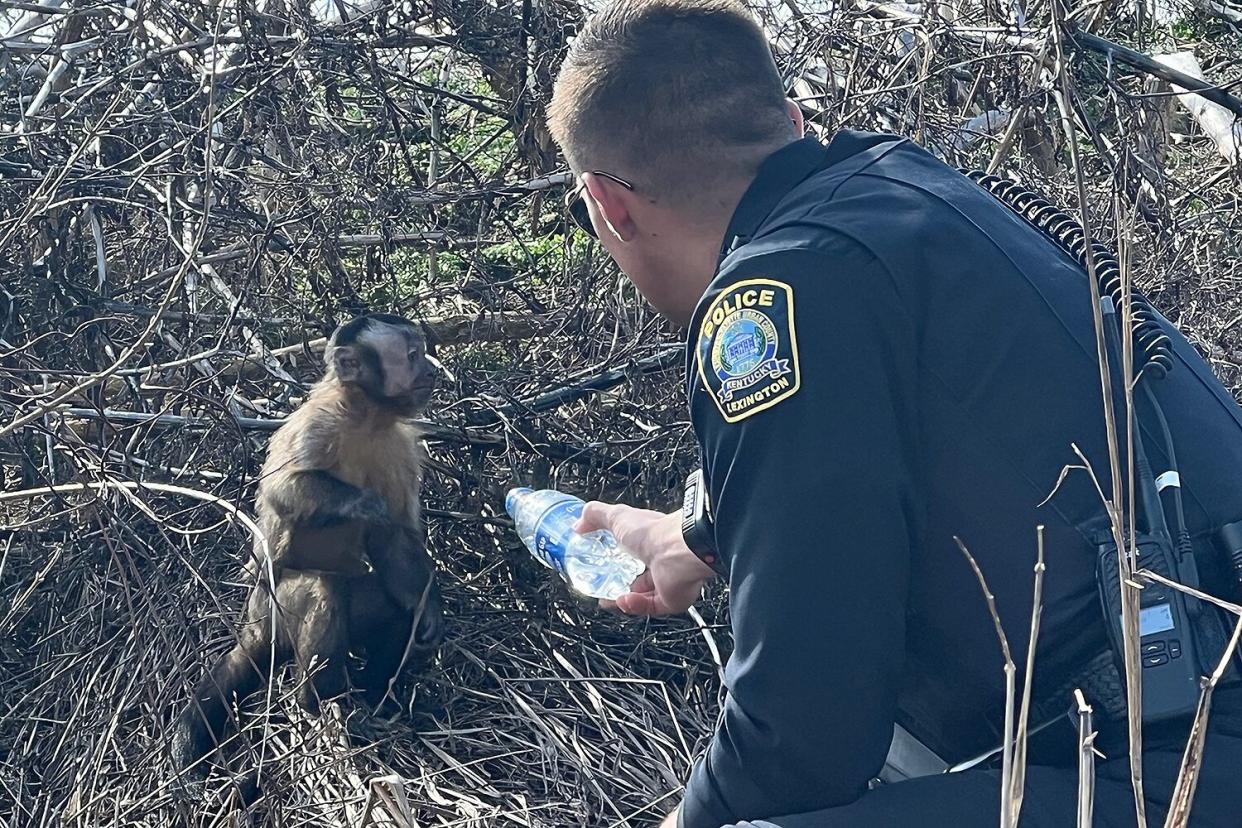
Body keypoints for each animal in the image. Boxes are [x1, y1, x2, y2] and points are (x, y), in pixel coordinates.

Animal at [172, 315, 447, 789]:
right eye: (412, 355)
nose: (430, 369)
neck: (365, 417)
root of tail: (252, 626)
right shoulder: (318, 423)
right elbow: (283, 490)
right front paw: (364, 503)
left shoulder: (400, 447)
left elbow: (395, 541)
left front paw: (427, 608)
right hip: (272, 611)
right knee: (322, 590)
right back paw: (317, 701)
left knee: (390, 608)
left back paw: (375, 697)